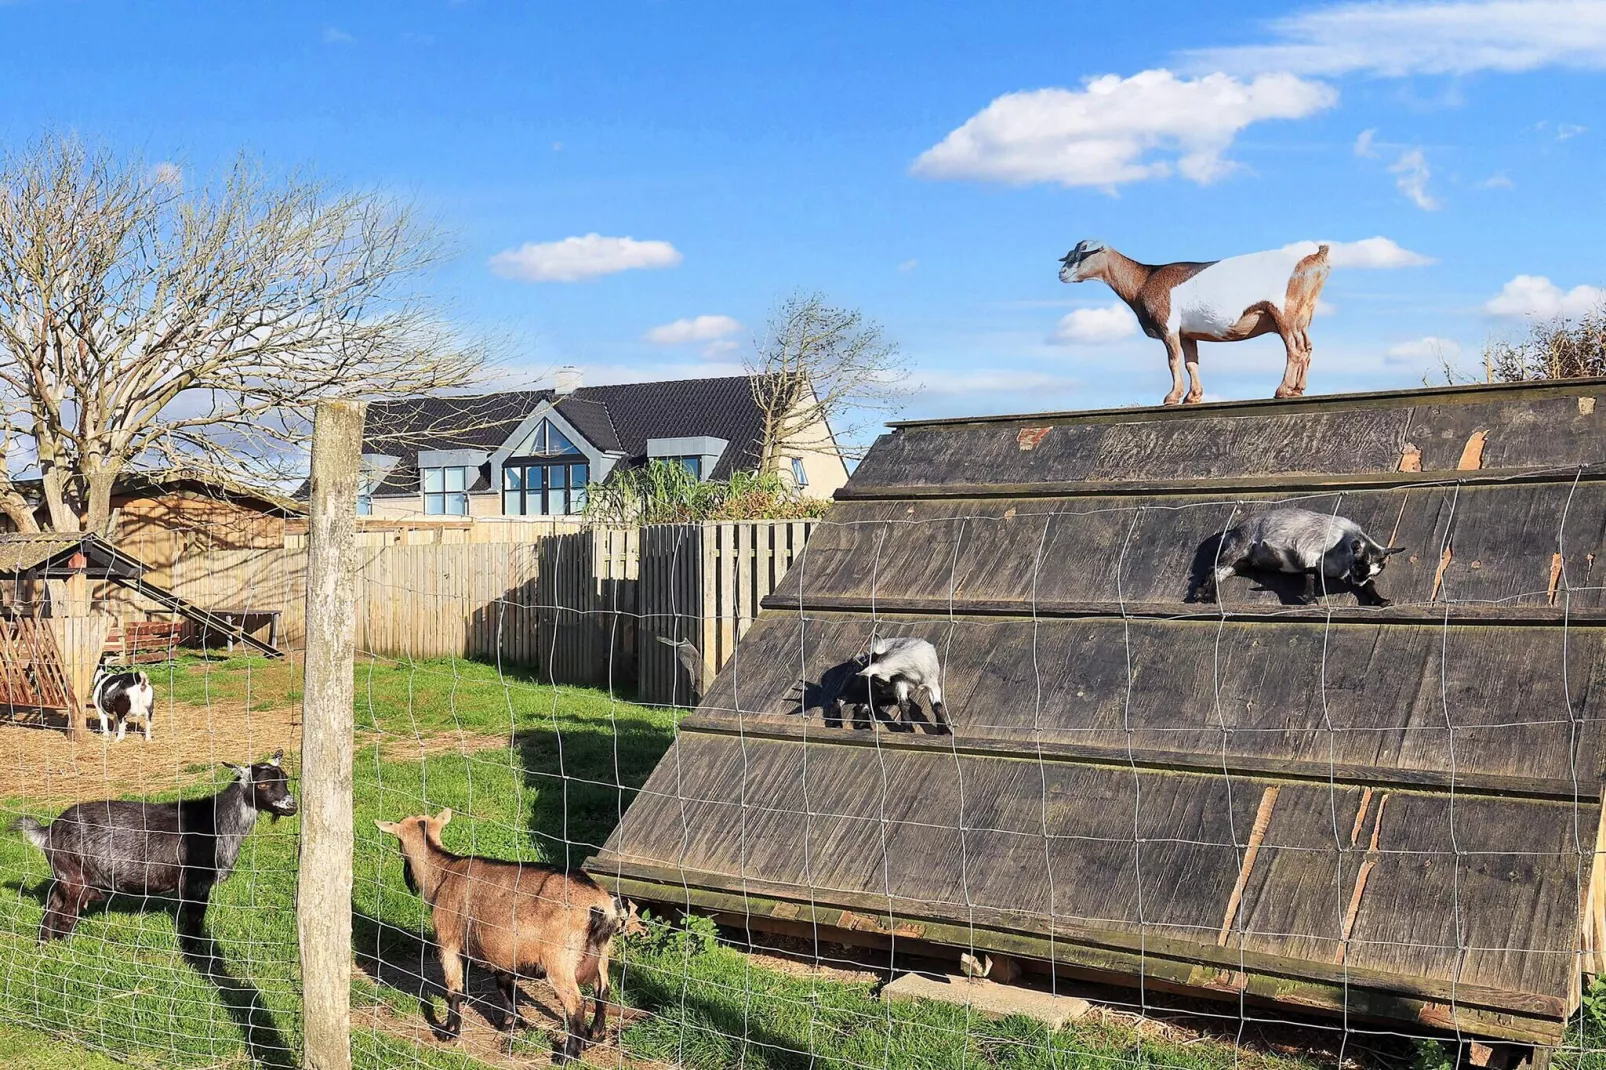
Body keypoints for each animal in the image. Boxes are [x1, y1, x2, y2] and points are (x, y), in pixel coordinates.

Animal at [11, 748, 298, 951]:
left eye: (285, 779)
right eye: (262, 784)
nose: (292, 806)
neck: (218, 822)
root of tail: (49, 831)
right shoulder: (197, 880)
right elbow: (195, 918)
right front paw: (196, 954)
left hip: (64, 876)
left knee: (52, 905)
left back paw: (44, 945)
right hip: (75, 878)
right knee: (65, 916)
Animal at [375, 809, 632, 1060]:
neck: (444, 872)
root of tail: (599, 905)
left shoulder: (448, 942)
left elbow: (454, 989)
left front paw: (450, 1032)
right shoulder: (503, 950)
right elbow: (503, 984)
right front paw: (508, 1023)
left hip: (559, 959)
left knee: (576, 1004)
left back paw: (569, 1054)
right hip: (602, 952)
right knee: (603, 990)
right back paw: (595, 1034)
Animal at [1059, 237, 1336, 404]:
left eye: (1084, 254)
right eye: (1070, 254)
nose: (1061, 273)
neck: (1145, 279)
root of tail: (1316, 256)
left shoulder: (1168, 326)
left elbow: (1173, 361)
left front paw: (1172, 397)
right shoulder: (1186, 334)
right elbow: (1192, 362)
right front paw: (1192, 397)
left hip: (1283, 313)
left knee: (1295, 349)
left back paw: (1282, 390)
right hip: (1303, 316)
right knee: (1307, 347)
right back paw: (1298, 389)